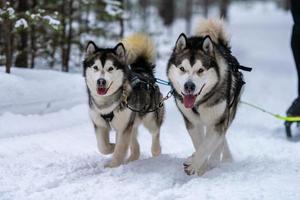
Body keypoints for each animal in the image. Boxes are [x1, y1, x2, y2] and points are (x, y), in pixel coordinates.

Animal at [84, 34, 164, 167]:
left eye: (110, 68)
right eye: (95, 67)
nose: (101, 81)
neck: (107, 103)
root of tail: (144, 71)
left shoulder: (123, 127)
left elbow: (120, 148)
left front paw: (113, 166)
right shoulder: (99, 124)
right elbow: (103, 146)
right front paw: (112, 146)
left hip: (150, 118)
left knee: (155, 132)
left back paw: (156, 151)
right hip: (132, 122)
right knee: (135, 146)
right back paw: (131, 159)